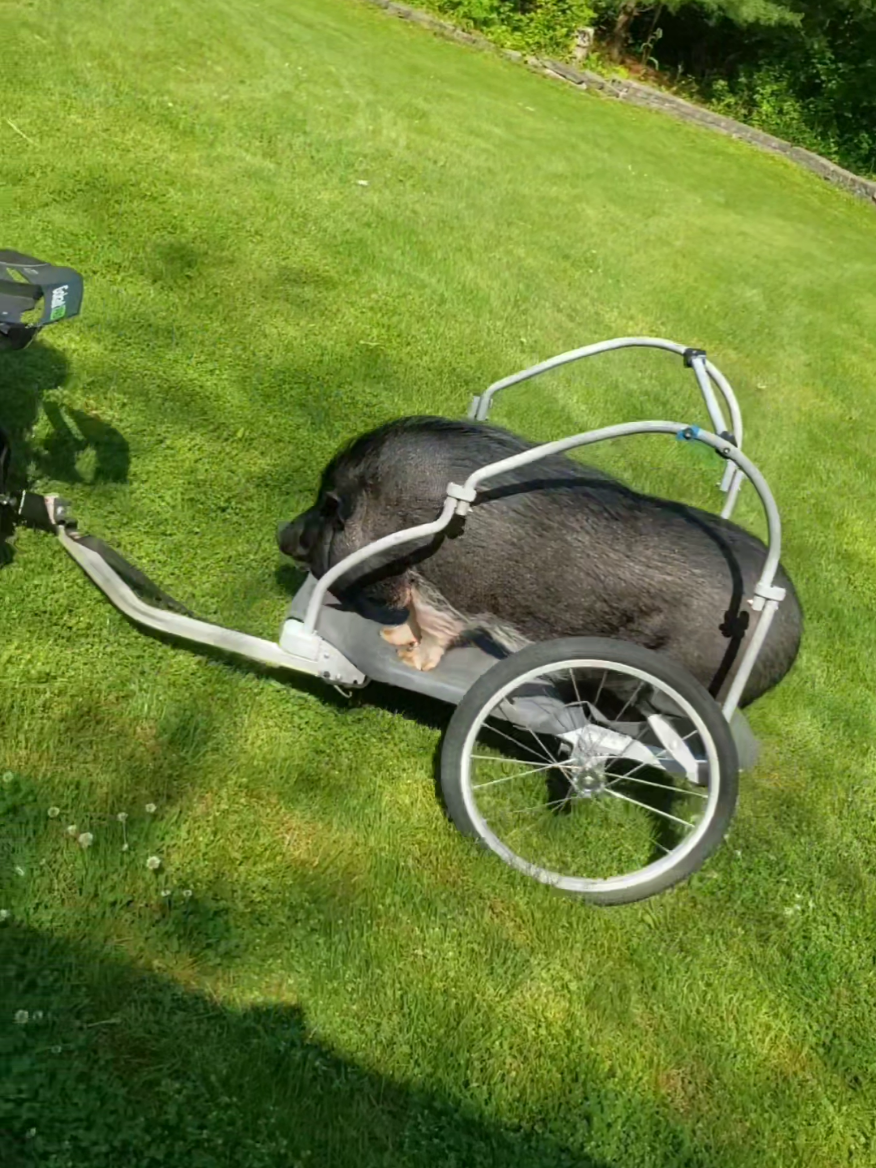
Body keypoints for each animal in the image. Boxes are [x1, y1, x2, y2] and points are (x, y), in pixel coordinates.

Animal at [278, 416, 802, 707]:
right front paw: (391, 639)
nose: (282, 534)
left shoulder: (454, 595)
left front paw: (408, 660)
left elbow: (435, 630)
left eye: (328, 508)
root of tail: (795, 634)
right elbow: (413, 618)